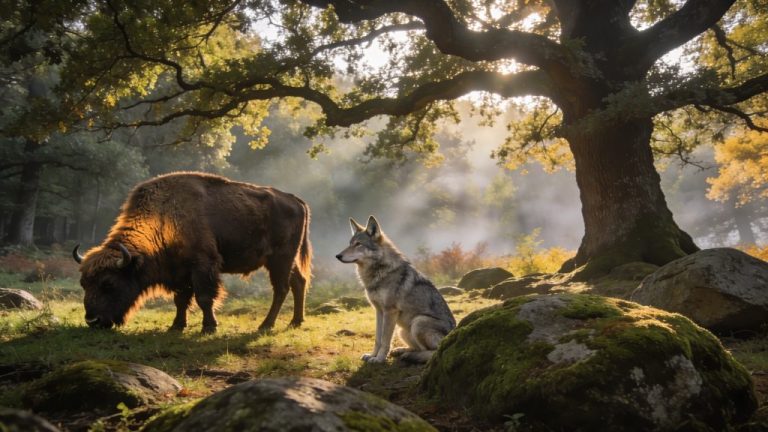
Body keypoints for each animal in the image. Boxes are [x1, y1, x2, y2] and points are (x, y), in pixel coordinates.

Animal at [73, 172, 312, 333]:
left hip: (280, 259)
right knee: (298, 282)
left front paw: (209, 327)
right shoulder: (180, 272)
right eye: (83, 284)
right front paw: (176, 326)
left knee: (281, 289)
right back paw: (296, 322)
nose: (92, 321)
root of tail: (296, 200)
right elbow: (181, 300)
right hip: (287, 261)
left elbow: (204, 297)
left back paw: (265, 325)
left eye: (108, 284)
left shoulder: (203, 266)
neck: (164, 219)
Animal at [335, 216, 456, 364]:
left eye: (358, 244)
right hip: (402, 330)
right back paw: (401, 351)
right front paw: (372, 355)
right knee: (418, 348)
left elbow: (385, 339)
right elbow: (377, 338)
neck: (379, 272)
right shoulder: (379, 311)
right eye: (350, 243)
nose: (338, 256)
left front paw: (379, 359)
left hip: (418, 321)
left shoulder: (390, 311)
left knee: (433, 352)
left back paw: (409, 355)